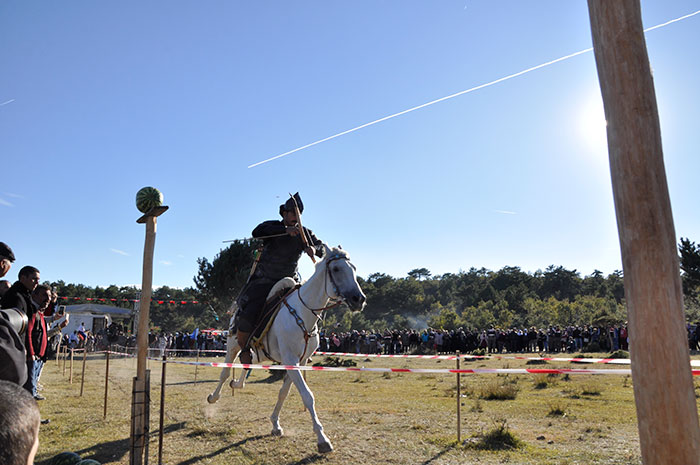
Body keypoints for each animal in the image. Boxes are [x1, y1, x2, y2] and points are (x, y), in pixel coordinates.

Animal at [205, 245, 366, 452]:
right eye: (337, 269)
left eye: (353, 268)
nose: (358, 299)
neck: (304, 312)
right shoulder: (291, 360)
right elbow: (307, 396)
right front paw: (322, 439)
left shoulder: (299, 361)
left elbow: (283, 393)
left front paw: (275, 424)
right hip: (232, 346)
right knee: (225, 372)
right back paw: (213, 397)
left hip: (258, 353)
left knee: (247, 362)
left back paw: (238, 384)